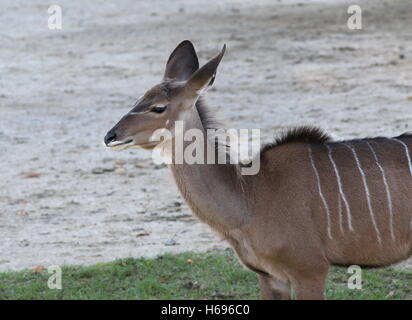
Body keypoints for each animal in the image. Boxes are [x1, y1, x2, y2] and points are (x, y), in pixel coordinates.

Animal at [105, 40, 412, 300]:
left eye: (158, 107)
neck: (251, 198)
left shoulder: (310, 270)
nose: (111, 136)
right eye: (139, 99)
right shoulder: (269, 276)